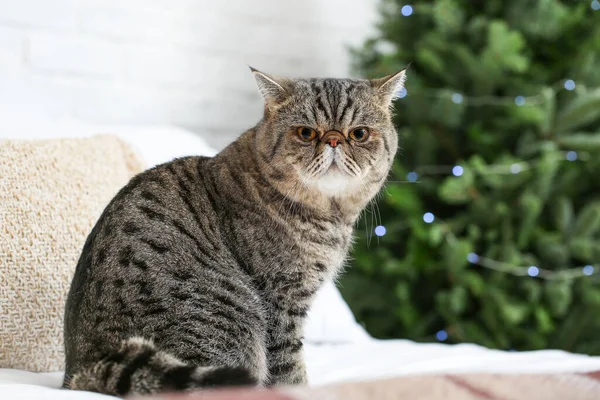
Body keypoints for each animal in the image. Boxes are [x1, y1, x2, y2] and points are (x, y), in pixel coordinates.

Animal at [62, 66, 408, 396]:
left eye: (359, 133)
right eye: (306, 133)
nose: (335, 140)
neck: (329, 215)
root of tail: (88, 364)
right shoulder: (281, 302)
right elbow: (289, 368)